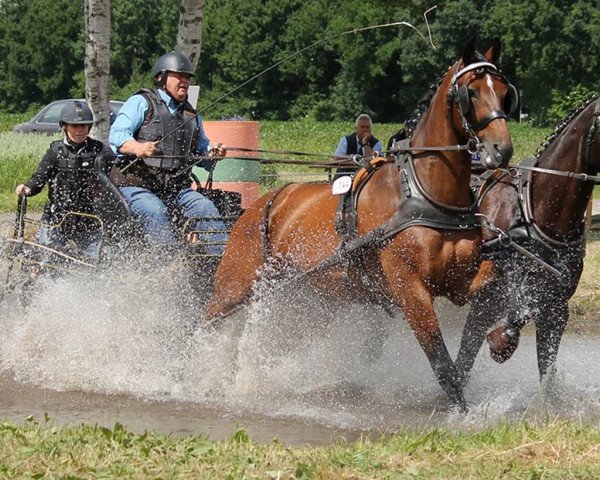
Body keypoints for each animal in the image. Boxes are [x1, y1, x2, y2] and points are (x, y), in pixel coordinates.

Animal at [204, 39, 512, 410]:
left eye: (504, 92)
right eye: (472, 92)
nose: (502, 149)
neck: (423, 194)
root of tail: (258, 205)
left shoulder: (457, 280)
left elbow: (488, 291)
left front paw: (505, 336)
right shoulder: (410, 290)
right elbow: (441, 361)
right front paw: (461, 410)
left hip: (299, 295)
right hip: (234, 287)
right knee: (208, 323)